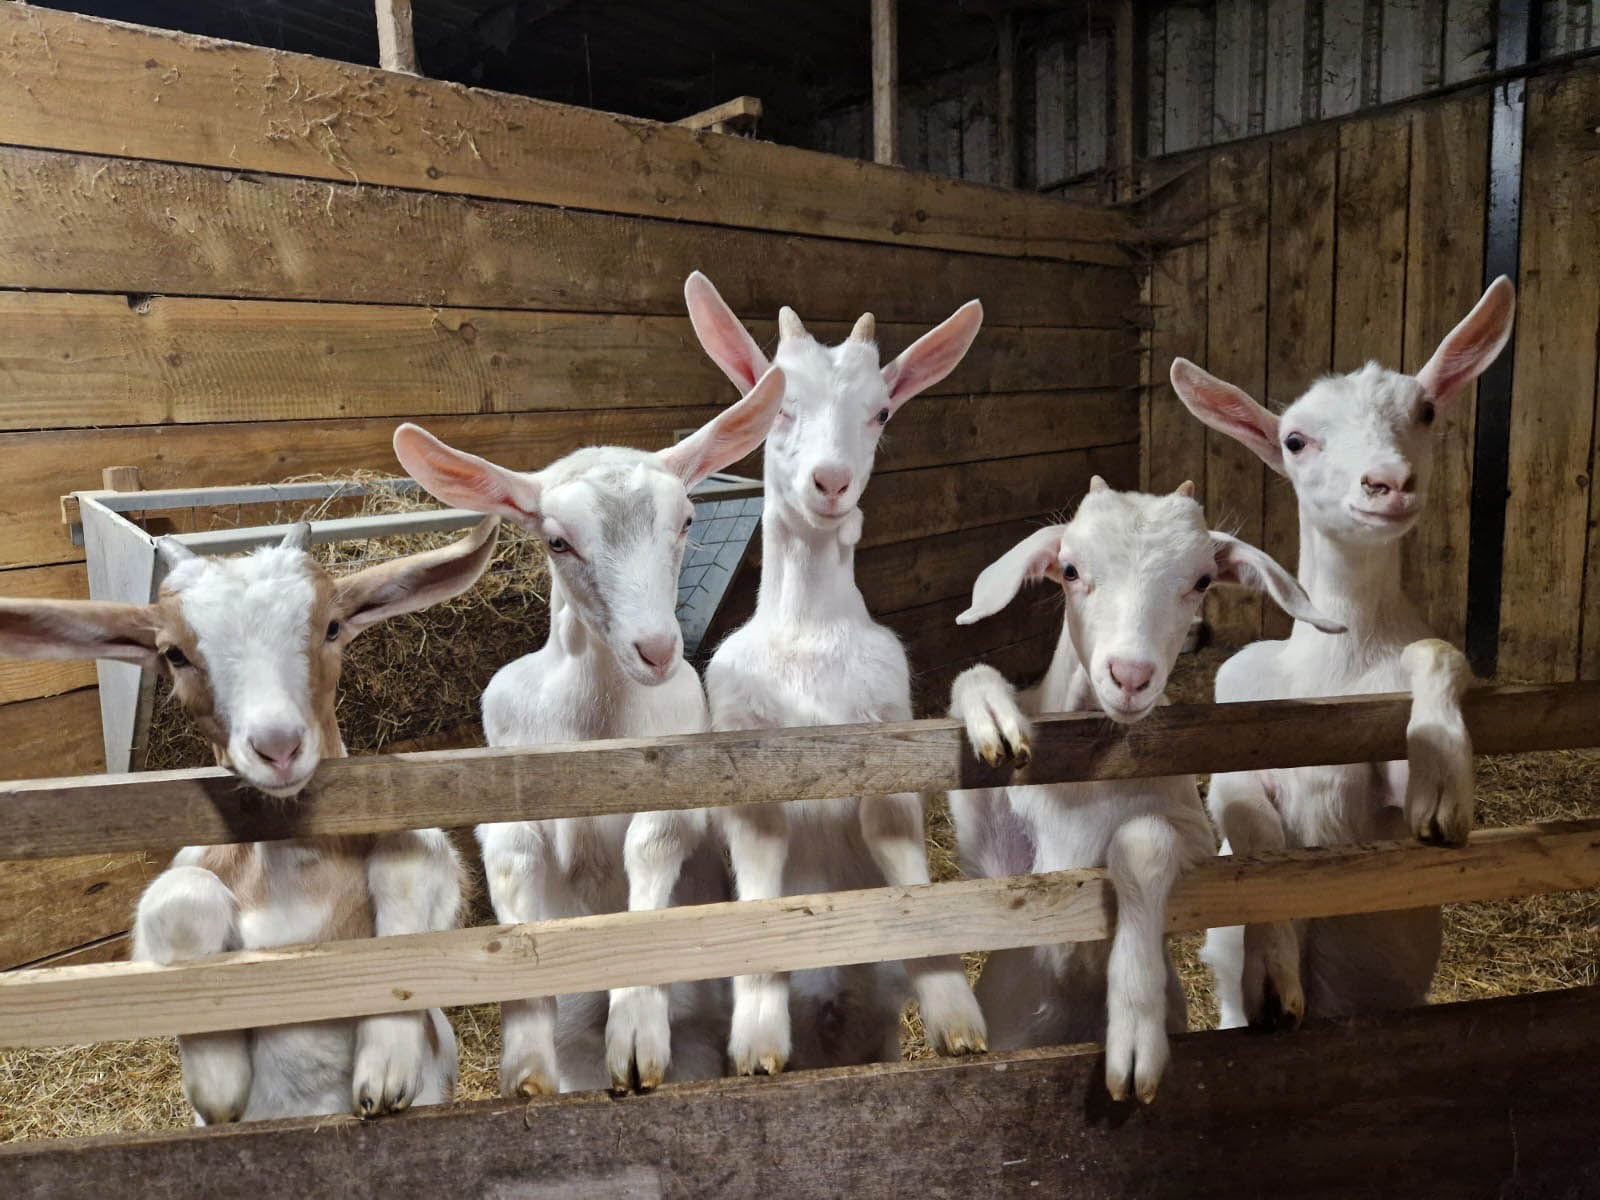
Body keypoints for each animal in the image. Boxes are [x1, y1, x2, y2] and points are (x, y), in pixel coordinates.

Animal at [0, 517, 499, 1122]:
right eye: (174, 654)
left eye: (332, 627)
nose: (278, 746)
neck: (292, 871)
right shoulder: (184, 876)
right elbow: (181, 893)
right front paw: (219, 1082)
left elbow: (410, 862)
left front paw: (386, 1072)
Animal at [391, 365, 786, 1095]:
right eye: (557, 540)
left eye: (688, 520)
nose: (656, 649)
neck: (594, 723)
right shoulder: (506, 800)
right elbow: (516, 874)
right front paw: (526, 1065)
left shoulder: (676, 790)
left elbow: (653, 847)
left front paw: (635, 1038)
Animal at [682, 271, 987, 1075]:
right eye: (778, 403)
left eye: (880, 411)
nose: (831, 481)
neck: (811, 639)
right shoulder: (743, 750)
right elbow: (761, 866)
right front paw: (759, 1042)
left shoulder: (889, 734)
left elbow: (901, 850)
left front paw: (957, 1018)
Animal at [948, 478, 1342, 1100]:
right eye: (1069, 569)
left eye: (1202, 580)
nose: (1130, 677)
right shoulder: (996, 867)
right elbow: (975, 685)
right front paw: (994, 716)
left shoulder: (1190, 831)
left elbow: (1144, 838)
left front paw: (1134, 1040)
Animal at [1167, 276, 1515, 1028]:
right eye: (1295, 440)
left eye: (1425, 409)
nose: (1388, 483)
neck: (1331, 666)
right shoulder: (1231, 749)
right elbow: (1252, 828)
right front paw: (1276, 979)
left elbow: (1438, 656)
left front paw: (1442, 787)